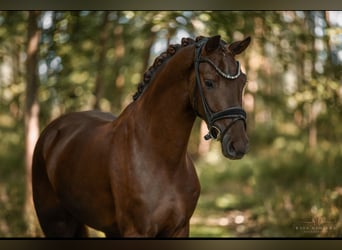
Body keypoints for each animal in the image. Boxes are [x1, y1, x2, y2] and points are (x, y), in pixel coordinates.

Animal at [32, 34, 250, 236]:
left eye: (243, 82)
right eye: (209, 82)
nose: (239, 145)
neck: (162, 160)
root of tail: (53, 130)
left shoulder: (179, 229)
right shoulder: (136, 231)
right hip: (56, 223)